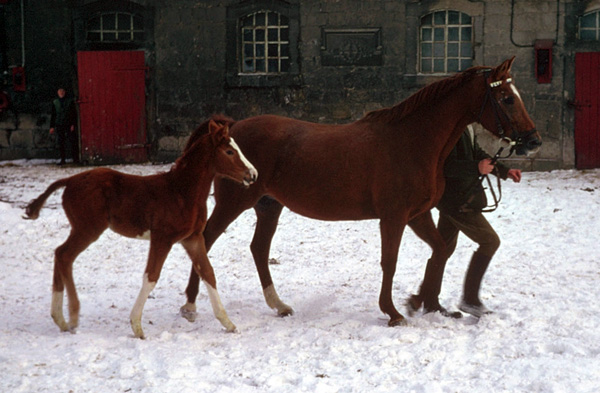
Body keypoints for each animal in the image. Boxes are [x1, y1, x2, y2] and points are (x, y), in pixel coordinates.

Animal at [25, 121, 258, 338]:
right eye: (229, 151)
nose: (253, 174)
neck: (181, 192)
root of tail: (69, 180)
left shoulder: (192, 239)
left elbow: (208, 272)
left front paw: (228, 323)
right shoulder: (162, 238)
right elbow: (151, 276)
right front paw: (136, 325)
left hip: (82, 229)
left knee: (59, 254)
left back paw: (60, 319)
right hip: (87, 229)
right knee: (65, 255)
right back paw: (72, 317)